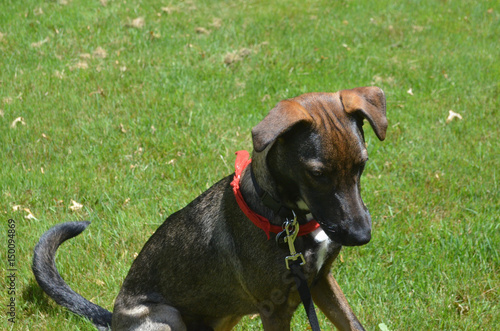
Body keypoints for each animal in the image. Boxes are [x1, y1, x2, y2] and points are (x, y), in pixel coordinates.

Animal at [33, 86, 388, 331]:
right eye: (317, 174)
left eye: (362, 165)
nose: (361, 236)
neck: (288, 218)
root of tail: (114, 320)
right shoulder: (274, 308)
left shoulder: (320, 280)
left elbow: (353, 323)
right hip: (165, 317)